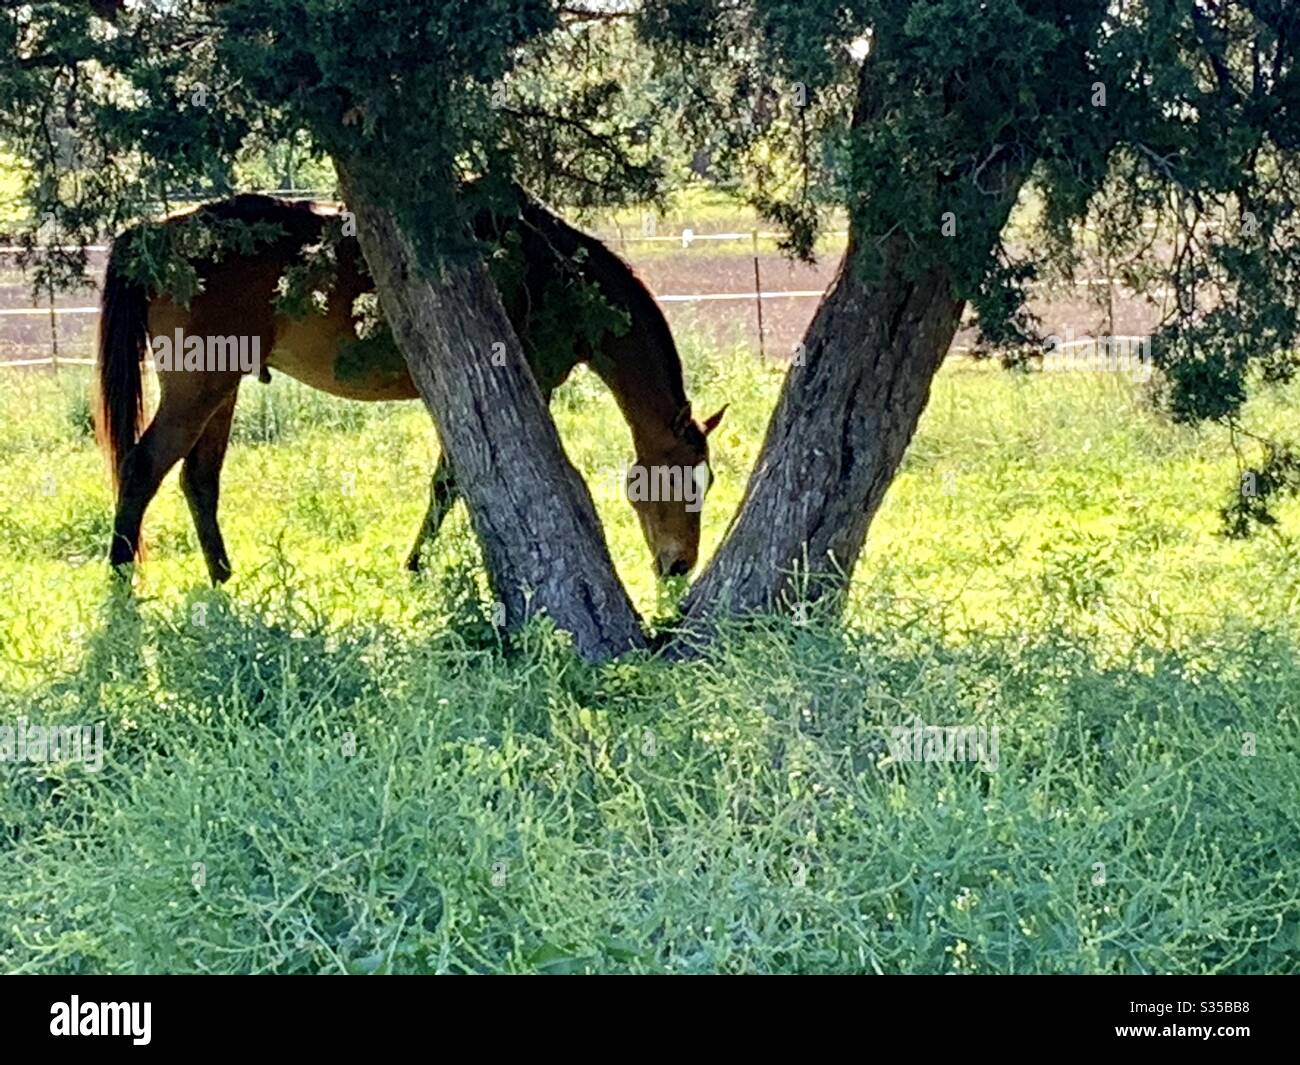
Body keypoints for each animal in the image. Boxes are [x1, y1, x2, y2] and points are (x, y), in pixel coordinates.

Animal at [96, 189, 728, 582]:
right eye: (684, 479)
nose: (679, 567)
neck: (552, 269)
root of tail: (155, 233)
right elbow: (451, 483)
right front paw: (418, 563)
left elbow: (447, 484)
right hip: (197, 387)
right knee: (143, 468)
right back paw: (121, 575)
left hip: (220, 389)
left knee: (198, 480)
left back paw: (223, 578)